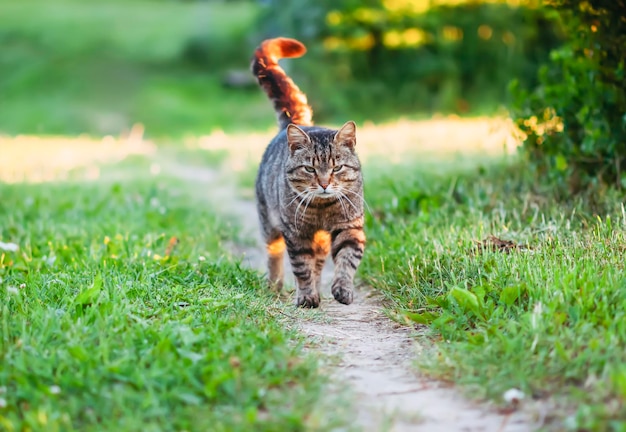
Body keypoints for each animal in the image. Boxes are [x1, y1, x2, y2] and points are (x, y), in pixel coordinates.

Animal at [250, 37, 364, 308]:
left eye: (336, 167)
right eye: (310, 168)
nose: (323, 184)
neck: (323, 209)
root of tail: (298, 122)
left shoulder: (350, 227)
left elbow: (346, 261)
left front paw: (342, 289)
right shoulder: (296, 234)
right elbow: (302, 267)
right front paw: (306, 296)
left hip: (320, 239)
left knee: (319, 262)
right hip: (268, 222)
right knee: (274, 254)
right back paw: (274, 286)